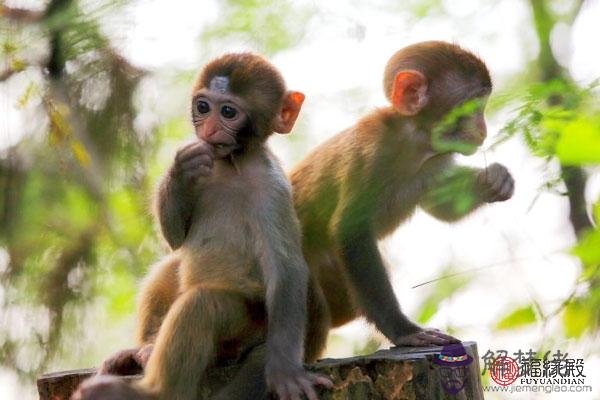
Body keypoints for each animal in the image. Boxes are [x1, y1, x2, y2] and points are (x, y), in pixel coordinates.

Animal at [74, 53, 332, 400]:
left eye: (228, 112)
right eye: (203, 107)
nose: (208, 129)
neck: (231, 166)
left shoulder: (271, 190)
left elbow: (286, 268)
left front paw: (285, 374)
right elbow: (175, 239)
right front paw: (182, 170)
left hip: (247, 324)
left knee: (203, 305)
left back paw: (148, 391)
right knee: (171, 266)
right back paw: (144, 350)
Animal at [292, 40, 512, 358]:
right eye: (471, 107)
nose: (483, 129)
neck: (414, 140)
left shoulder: (435, 160)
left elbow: (441, 207)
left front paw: (494, 179)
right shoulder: (372, 153)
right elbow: (351, 231)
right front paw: (404, 331)